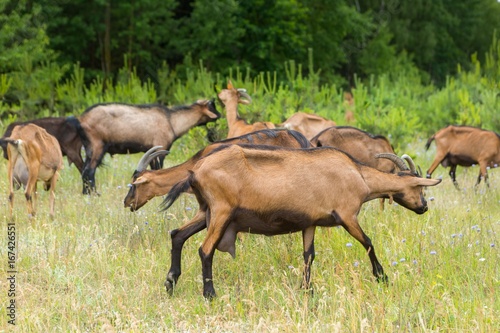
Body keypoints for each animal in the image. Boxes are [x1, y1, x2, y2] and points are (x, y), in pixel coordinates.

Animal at [74, 98, 221, 193]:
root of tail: (81, 119)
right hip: (97, 145)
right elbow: (158, 170)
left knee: (84, 170)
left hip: (89, 148)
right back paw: (93, 194)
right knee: (89, 171)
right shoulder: (160, 147)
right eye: (212, 106)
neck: (172, 121)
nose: (220, 114)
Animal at [161, 144, 442, 296]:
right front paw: (382, 277)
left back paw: (170, 284)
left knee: (177, 234)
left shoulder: (310, 223)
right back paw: (210, 294)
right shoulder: (347, 215)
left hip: (205, 211)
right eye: (419, 188)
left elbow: (308, 256)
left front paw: (307, 290)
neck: (359, 176)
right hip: (221, 211)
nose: (424, 207)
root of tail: (195, 172)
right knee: (205, 249)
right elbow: (368, 242)